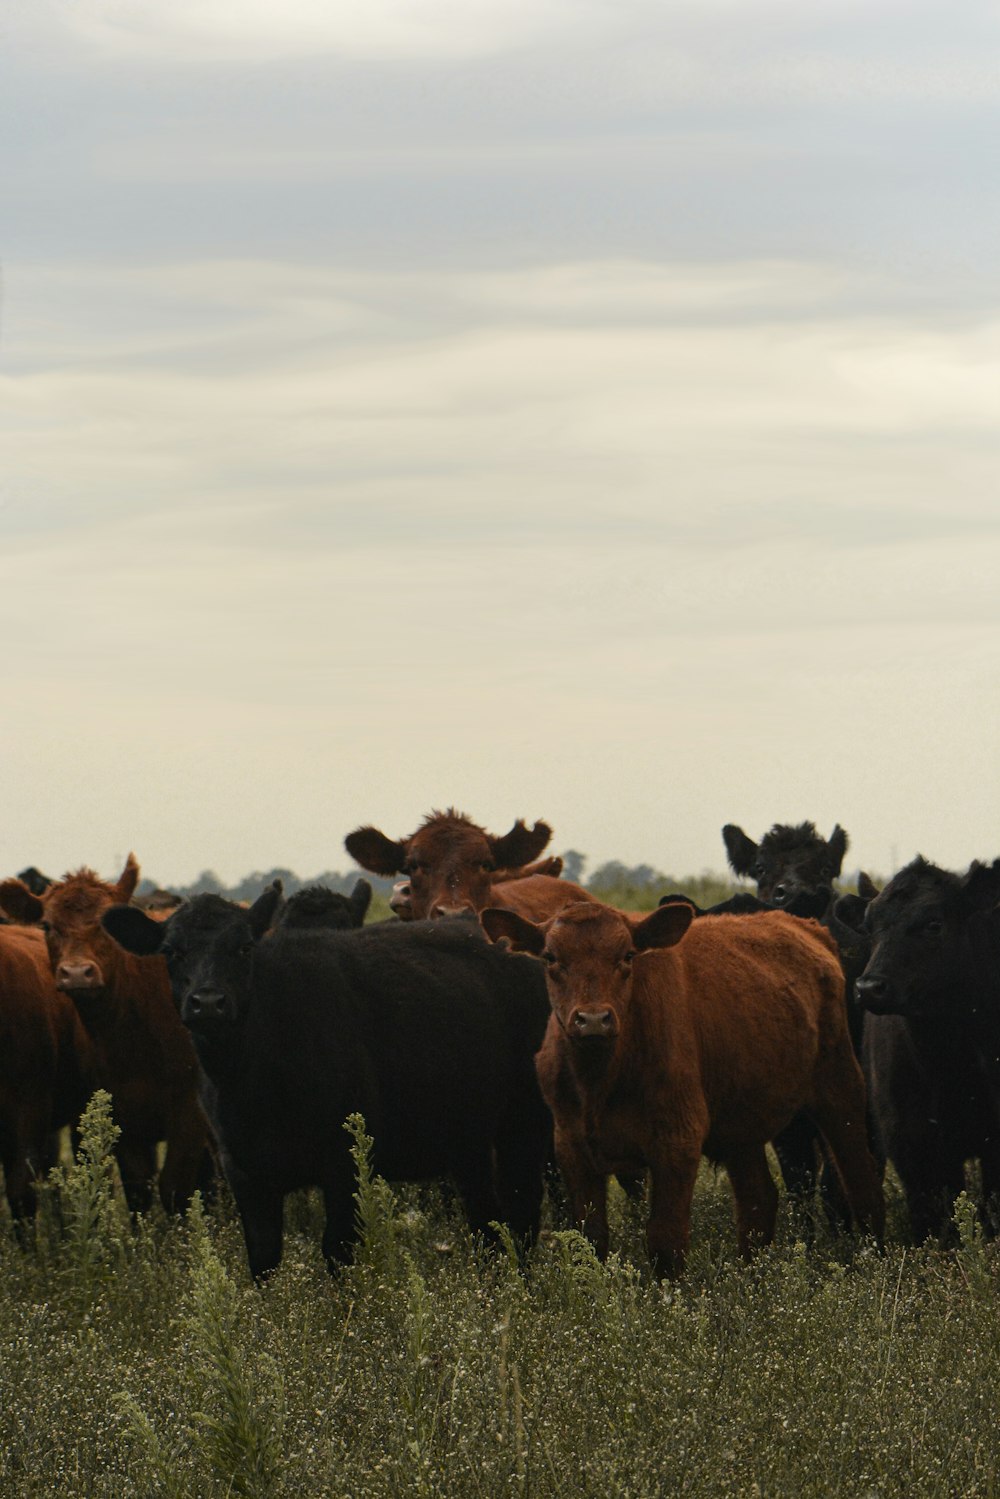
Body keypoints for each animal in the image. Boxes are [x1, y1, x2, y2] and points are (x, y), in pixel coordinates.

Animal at [101, 881, 551, 1283]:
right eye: (171, 951)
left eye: (244, 947)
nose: (208, 1003)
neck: (253, 1080)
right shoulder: (243, 1171)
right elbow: (263, 1260)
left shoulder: (344, 1164)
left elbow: (337, 1253)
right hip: (468, 1141)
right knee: (486, 1223)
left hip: (524, 1124)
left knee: (523, 1216)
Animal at [479, 893, 881, 1283]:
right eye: (551, 957)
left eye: (627, 955)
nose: (593, 1019)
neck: (601, 1081)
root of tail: (805, 926)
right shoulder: (572, 1145)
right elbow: (590, 1238)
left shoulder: (678, 1141)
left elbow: (665, 1239)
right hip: (741, 1122)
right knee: (758, 1199)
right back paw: (752, 1278)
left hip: (840, 1088)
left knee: (861, 1181)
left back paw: (874, 1260)